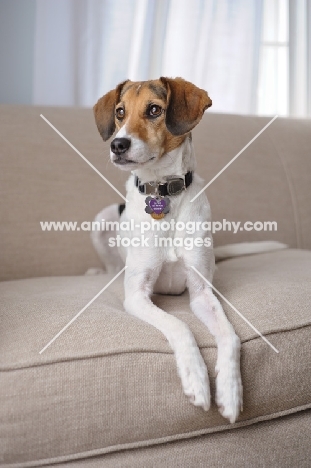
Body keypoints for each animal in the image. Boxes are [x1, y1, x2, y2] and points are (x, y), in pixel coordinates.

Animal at [91, 79, 280, 424]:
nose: (118, 145)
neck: (164, 192)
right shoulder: (136, 296)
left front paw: (230, 391)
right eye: (120, 112)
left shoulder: (202, 292)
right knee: (112, 265)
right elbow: (179, 326)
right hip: (102, 220)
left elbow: (230, 336)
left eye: (154, 110)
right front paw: (197, 379)